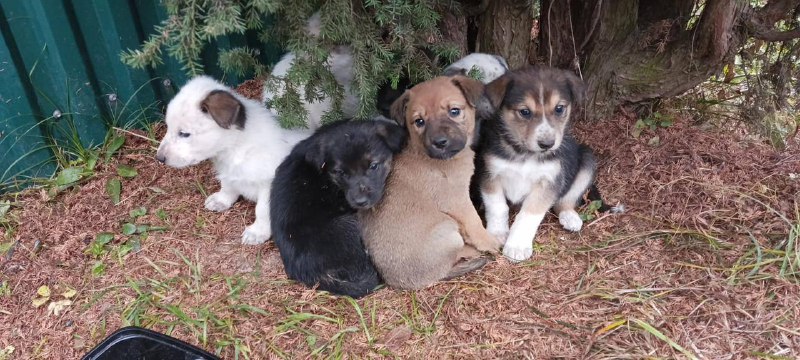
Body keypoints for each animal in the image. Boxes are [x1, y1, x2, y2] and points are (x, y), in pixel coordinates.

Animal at [156, 75, 310, 245]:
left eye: (184, 134)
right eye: (168, 127)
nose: (159, 158)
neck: (237, 147)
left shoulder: (268, 183)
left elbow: (262, 210)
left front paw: (257, 232)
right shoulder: (228, 172)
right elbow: (227, 187)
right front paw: (222, 200)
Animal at [358, 75, 496, 290]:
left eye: (454, 111)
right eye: (419, 121)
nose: (439, 142)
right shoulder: (458, 201)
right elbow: (474, 224)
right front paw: (491, 242)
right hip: (447, 228)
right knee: (455, 254)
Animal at [478, 65, 596, 262]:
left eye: (559, 108)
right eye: (525, 112)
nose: (547, 144)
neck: (525, 153)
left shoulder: (549, 182)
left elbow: (529, 215)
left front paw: (516, 246)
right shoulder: (490, 173)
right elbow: (498, 207)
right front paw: (497, 234)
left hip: (588, 159)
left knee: (565, 200)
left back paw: (570, 217)